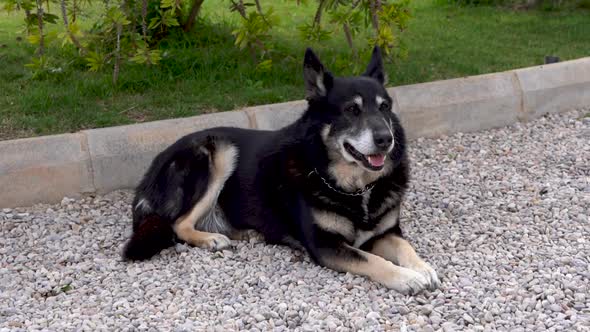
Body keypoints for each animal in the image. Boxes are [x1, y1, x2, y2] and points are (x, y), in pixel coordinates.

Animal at [122, 45, 442, 294]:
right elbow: (373, 260)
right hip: (221, 151)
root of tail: (150, 171)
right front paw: (406, 277)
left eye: (385, 107)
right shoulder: (325, 244)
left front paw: (423, 268)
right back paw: (211, 238)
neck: (355, 187)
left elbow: (405, 247)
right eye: (352, 110)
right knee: (179, 223)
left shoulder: (387, 233)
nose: (386, 139)